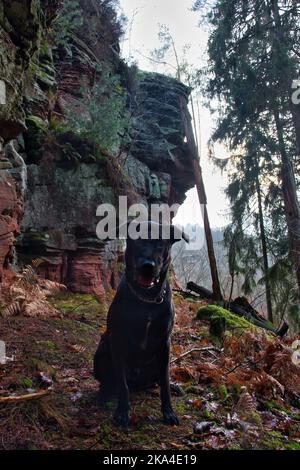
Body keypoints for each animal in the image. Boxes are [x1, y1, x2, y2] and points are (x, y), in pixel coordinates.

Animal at [94, 220, 188, 426]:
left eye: (160, 243)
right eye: (137, 240)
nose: (148, 266)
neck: (147, 300)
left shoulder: (165, 344)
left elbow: (165, 382)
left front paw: (168, 411)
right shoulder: (117, 340)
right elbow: (122, 384)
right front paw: (122, 412)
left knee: (158, 380)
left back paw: (173, 386)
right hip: (103, 347)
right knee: (111, 381)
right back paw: (104, 394)